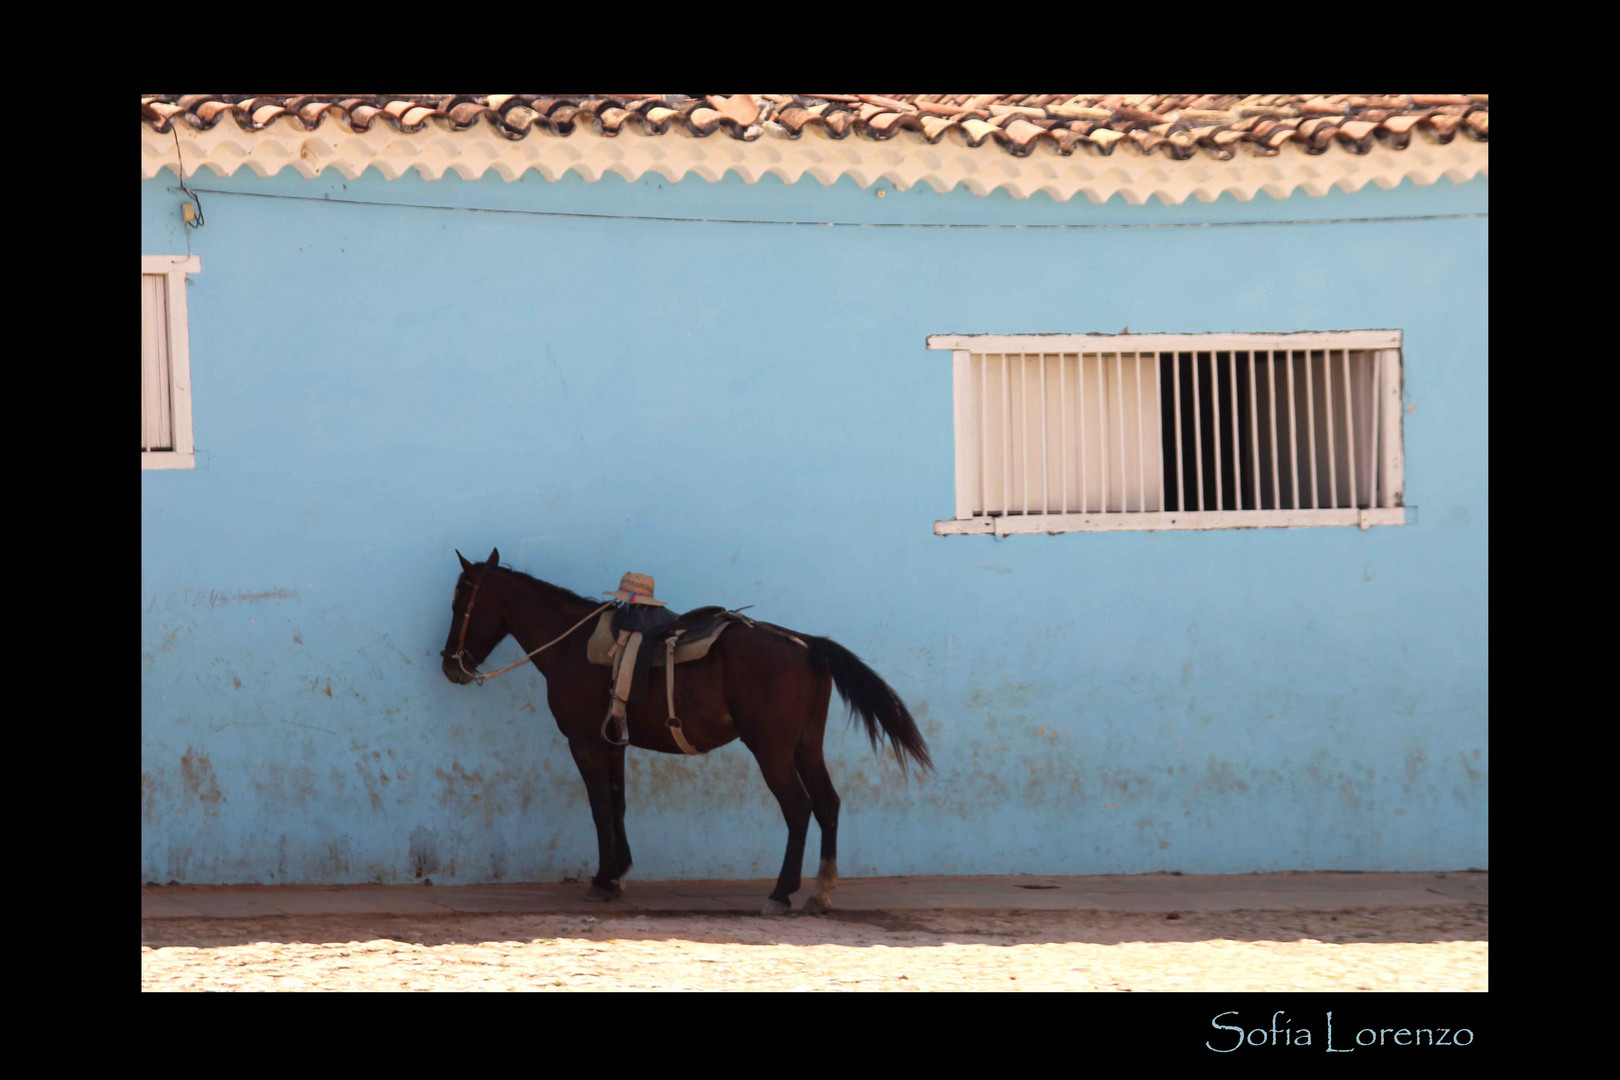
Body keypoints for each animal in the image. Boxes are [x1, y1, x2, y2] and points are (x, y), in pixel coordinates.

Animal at [437, 550, 939, 913]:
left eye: (460, 604)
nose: (449, 666)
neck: (575, 645)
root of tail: (806, 644)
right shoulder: (612, 742)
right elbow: (618, 804)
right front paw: (618, 873)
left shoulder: (583, 741)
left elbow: (599, 808)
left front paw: (602, 880)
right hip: (805, 745)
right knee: (828, 804)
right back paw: (819, 891)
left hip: (771, 748)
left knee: (798, 808)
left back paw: (781, 892)